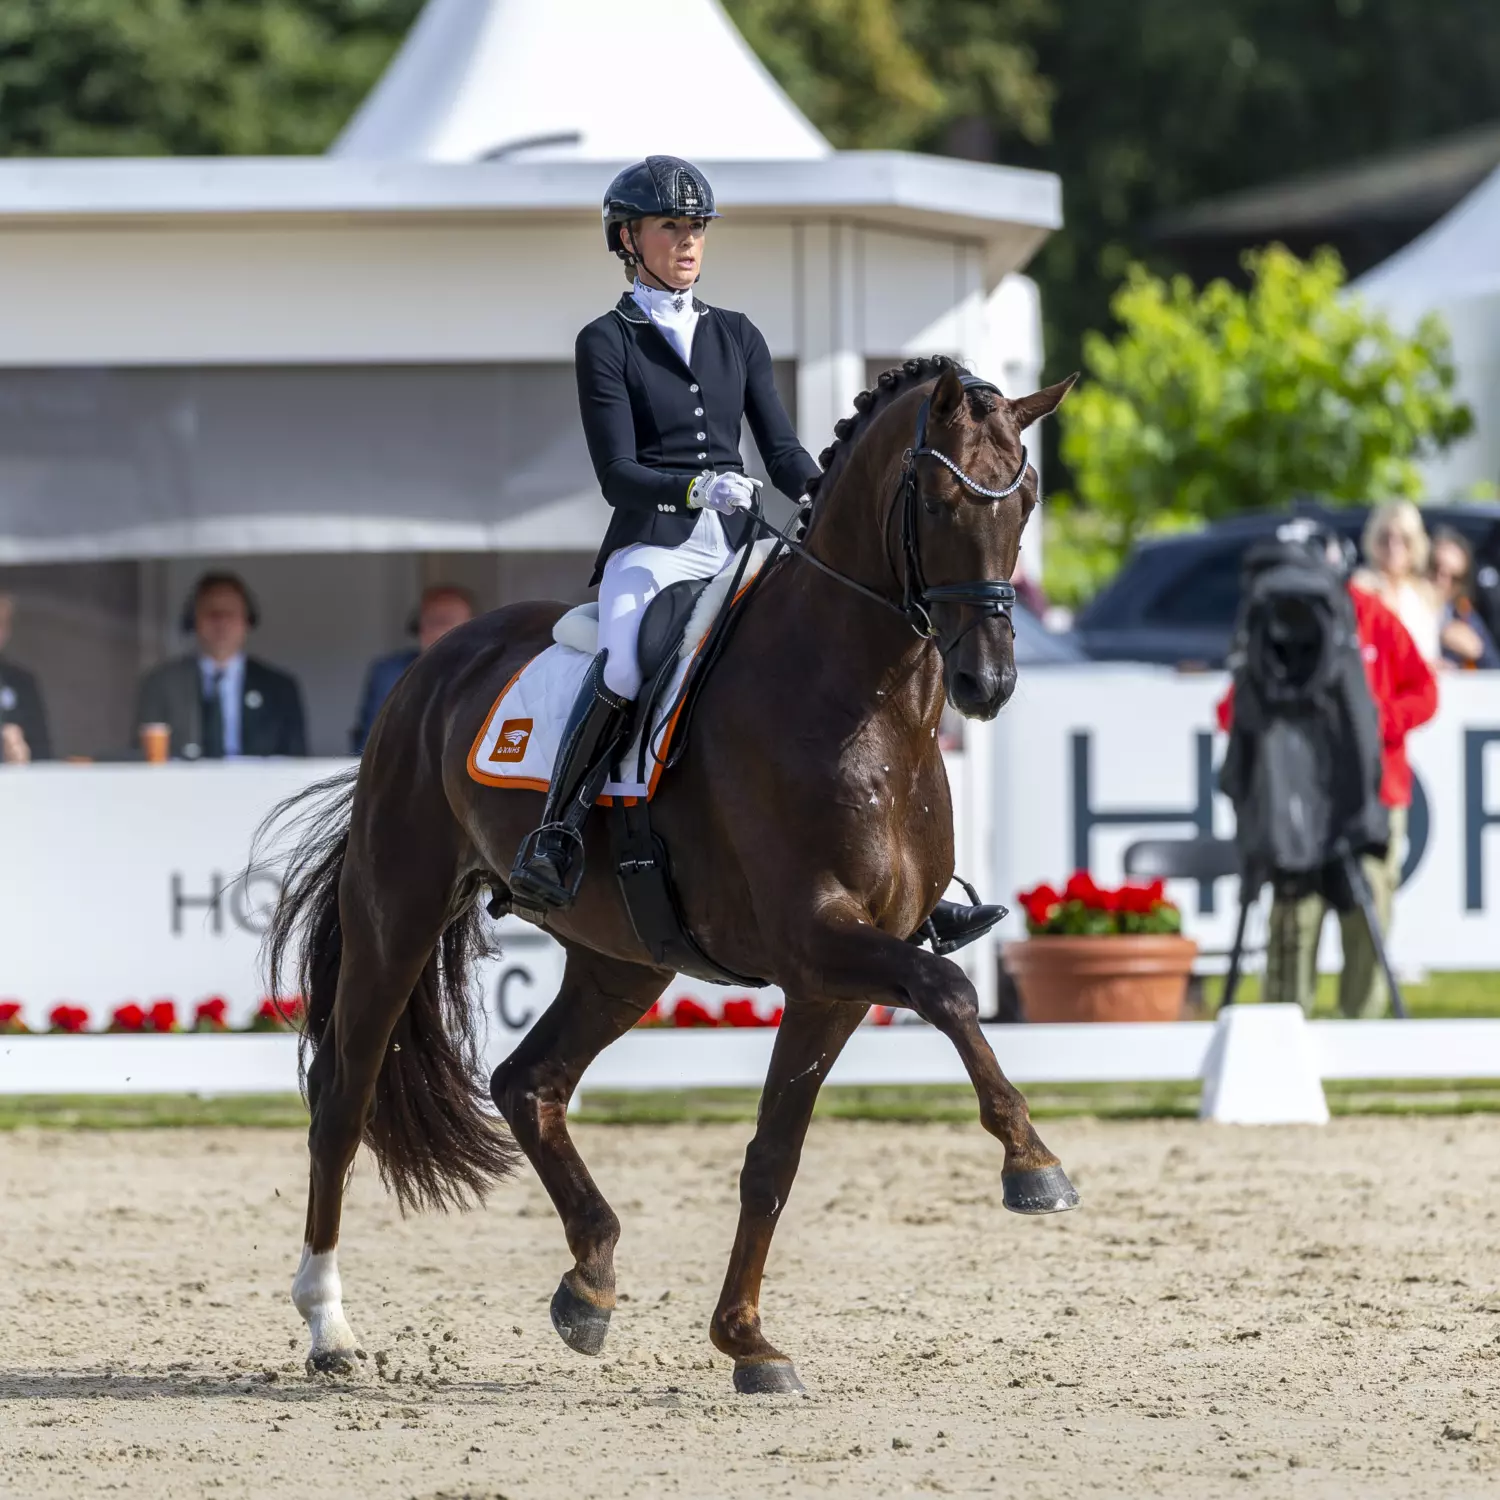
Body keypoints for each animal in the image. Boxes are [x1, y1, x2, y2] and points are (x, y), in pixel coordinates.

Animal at [263, 355, 1079, 1396]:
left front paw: (748, 1342)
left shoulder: (835, 978)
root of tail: (435, 662)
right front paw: (1032, 1164)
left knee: (528, 1082)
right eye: (937, 501)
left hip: (623, 961)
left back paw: (590, 1280)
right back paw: (329, 1327)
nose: (989, 684)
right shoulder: (817, 939)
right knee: (344, 1099)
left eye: (1026, 499)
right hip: (395, 914)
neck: (867, 705)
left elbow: (773, 1157)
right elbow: (951, 991)